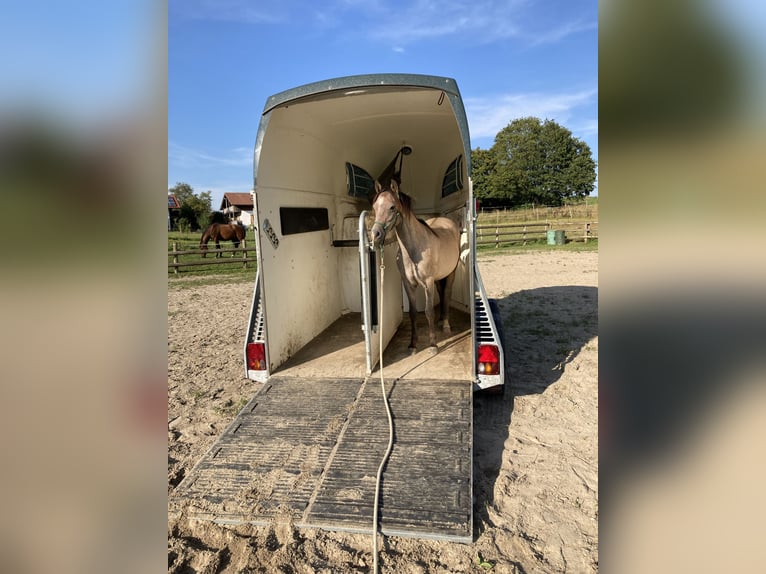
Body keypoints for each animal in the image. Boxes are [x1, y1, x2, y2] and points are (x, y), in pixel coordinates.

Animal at [370, 179, 460, 351]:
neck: (414, 250)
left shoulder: (428, 282)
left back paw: (446, 324)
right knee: (441, 292)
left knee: (447, 292)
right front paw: (413, 344)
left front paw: (433, 345)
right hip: (438, 277)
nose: (375, 234)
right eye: (374, 207)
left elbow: (428, 311)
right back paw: (441, 321)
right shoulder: (408, 283)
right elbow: (412, 313)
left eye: (392, 207)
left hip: (451, 273)